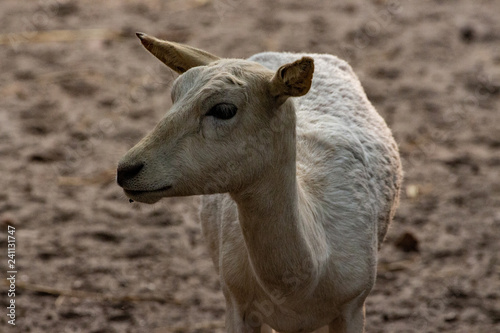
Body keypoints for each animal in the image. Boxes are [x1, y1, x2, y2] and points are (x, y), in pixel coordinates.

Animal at [117, 33, 402, 332]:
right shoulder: (236, 301)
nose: (126, 169)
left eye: (224, 109)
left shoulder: (354, 303)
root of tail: (289, 52)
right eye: (174, 95)